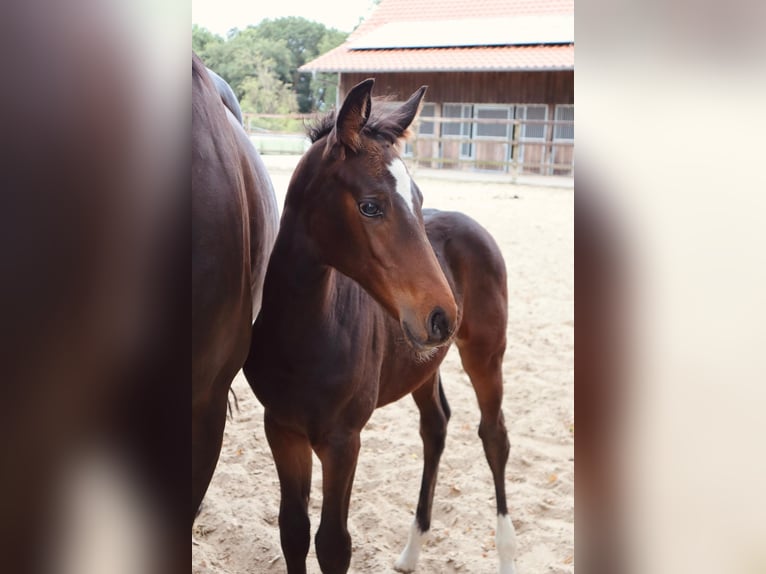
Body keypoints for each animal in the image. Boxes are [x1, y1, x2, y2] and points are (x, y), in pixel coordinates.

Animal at [244, 79, 517, 574]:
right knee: (436, 427)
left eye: (420, 201)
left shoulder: (343, 441)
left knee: (494, 436)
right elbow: (292, 531)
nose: (444, 316)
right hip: (424, 364)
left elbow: (333, 544)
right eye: (370, 207)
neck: (305, 335)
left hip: (485, 354)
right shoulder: (282, 429)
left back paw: (505, 552)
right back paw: (411, 551)